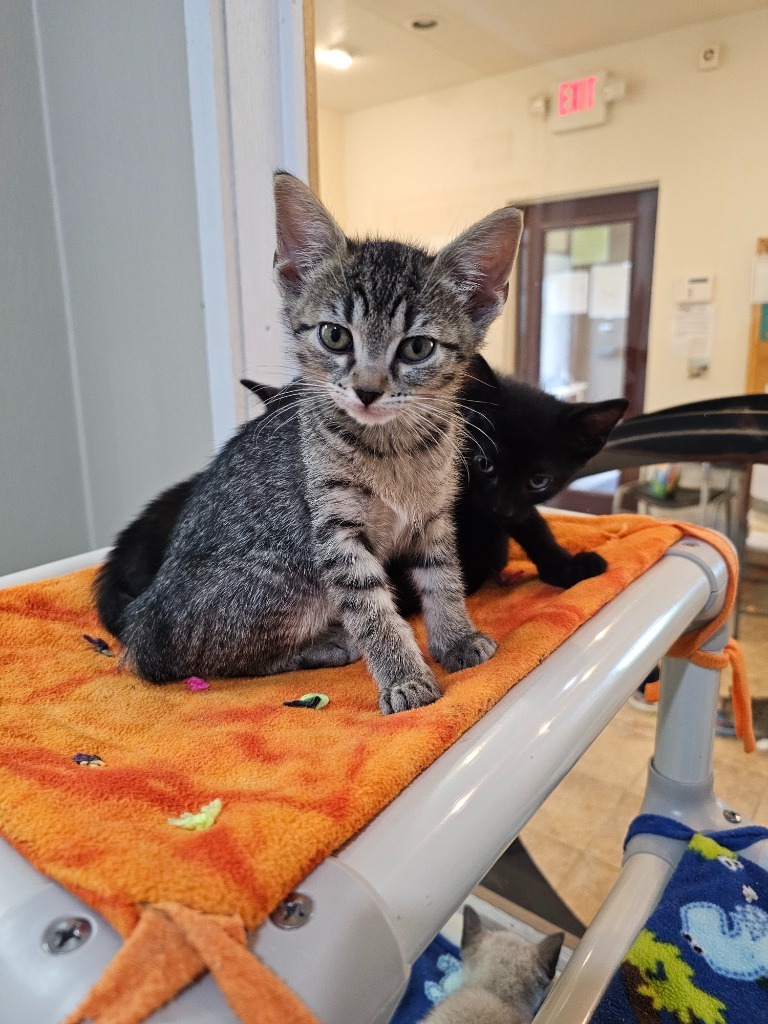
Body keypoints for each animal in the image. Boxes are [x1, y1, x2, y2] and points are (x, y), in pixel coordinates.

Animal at [115, 169, 524, 712]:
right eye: (335, 336)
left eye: (417, 347)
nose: (368, 390)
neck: (394, 447)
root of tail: (143, 619)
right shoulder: (336, 533)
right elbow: (373, 610)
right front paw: (403, 677)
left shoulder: (434, 516)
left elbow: (443, 577)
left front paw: (454, 636)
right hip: (284, 580)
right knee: (198, 659)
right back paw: (327, 643)